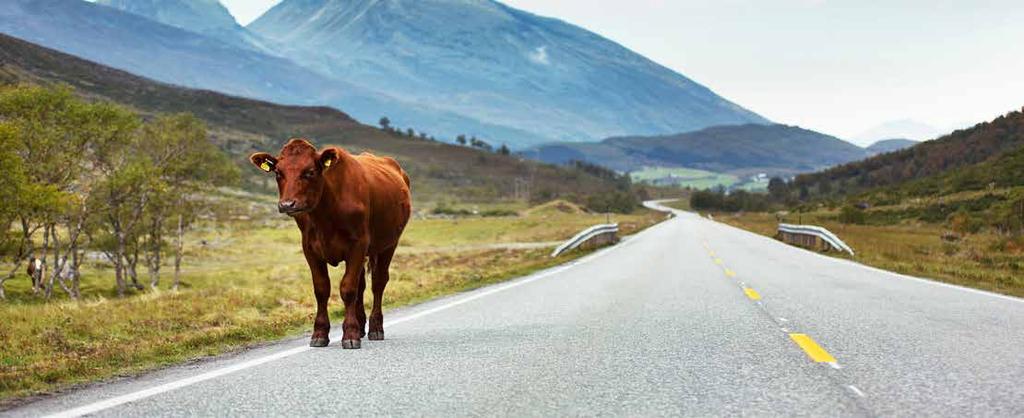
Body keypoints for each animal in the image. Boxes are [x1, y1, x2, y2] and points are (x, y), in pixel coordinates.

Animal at [251, 138, 411, 348]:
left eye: (310, 172)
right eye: (278, 173)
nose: (287, 204)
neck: (326, 213)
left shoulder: (358, 245)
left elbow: (348, 288)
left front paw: (349, 334)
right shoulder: (310, 249)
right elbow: (322, 289)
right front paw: (320, 333)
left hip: (388, 245)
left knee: (378, 283)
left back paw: (376, 328)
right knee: (362, 285)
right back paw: (361, 326)